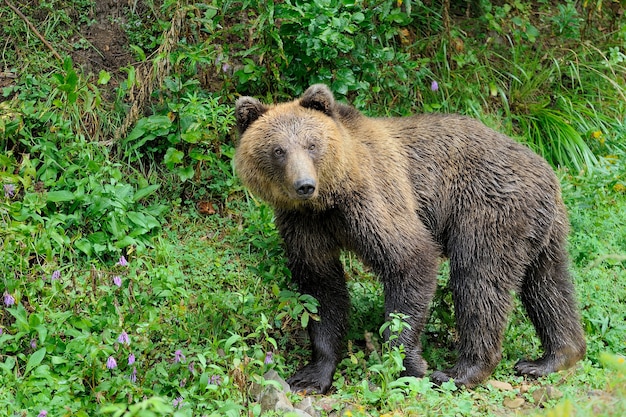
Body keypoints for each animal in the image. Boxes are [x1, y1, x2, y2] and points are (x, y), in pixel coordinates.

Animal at [233, 83, 584, 392]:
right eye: (278, 150)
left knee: (478, 281)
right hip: (542, 228)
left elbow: (410, 261)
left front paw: (407, 366)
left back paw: (462, 371)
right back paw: (553, 357)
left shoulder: (373, 201)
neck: (329, 201)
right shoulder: (304, 226)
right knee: (548, 286)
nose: (304, 184)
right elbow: (321, 290)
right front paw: (311, 375)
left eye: (312, 144)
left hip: (489, 209)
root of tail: (545, 168)